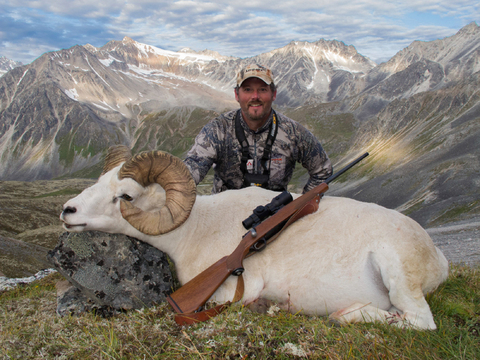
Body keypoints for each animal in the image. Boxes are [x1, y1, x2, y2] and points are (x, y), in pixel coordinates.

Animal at [61, 146, 450, 330]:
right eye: (100, 181)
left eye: (125, 196)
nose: (68, 211)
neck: (196, 230)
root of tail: (438, 259)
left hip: (398, 276)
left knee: (419, 321)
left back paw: (346, 313)